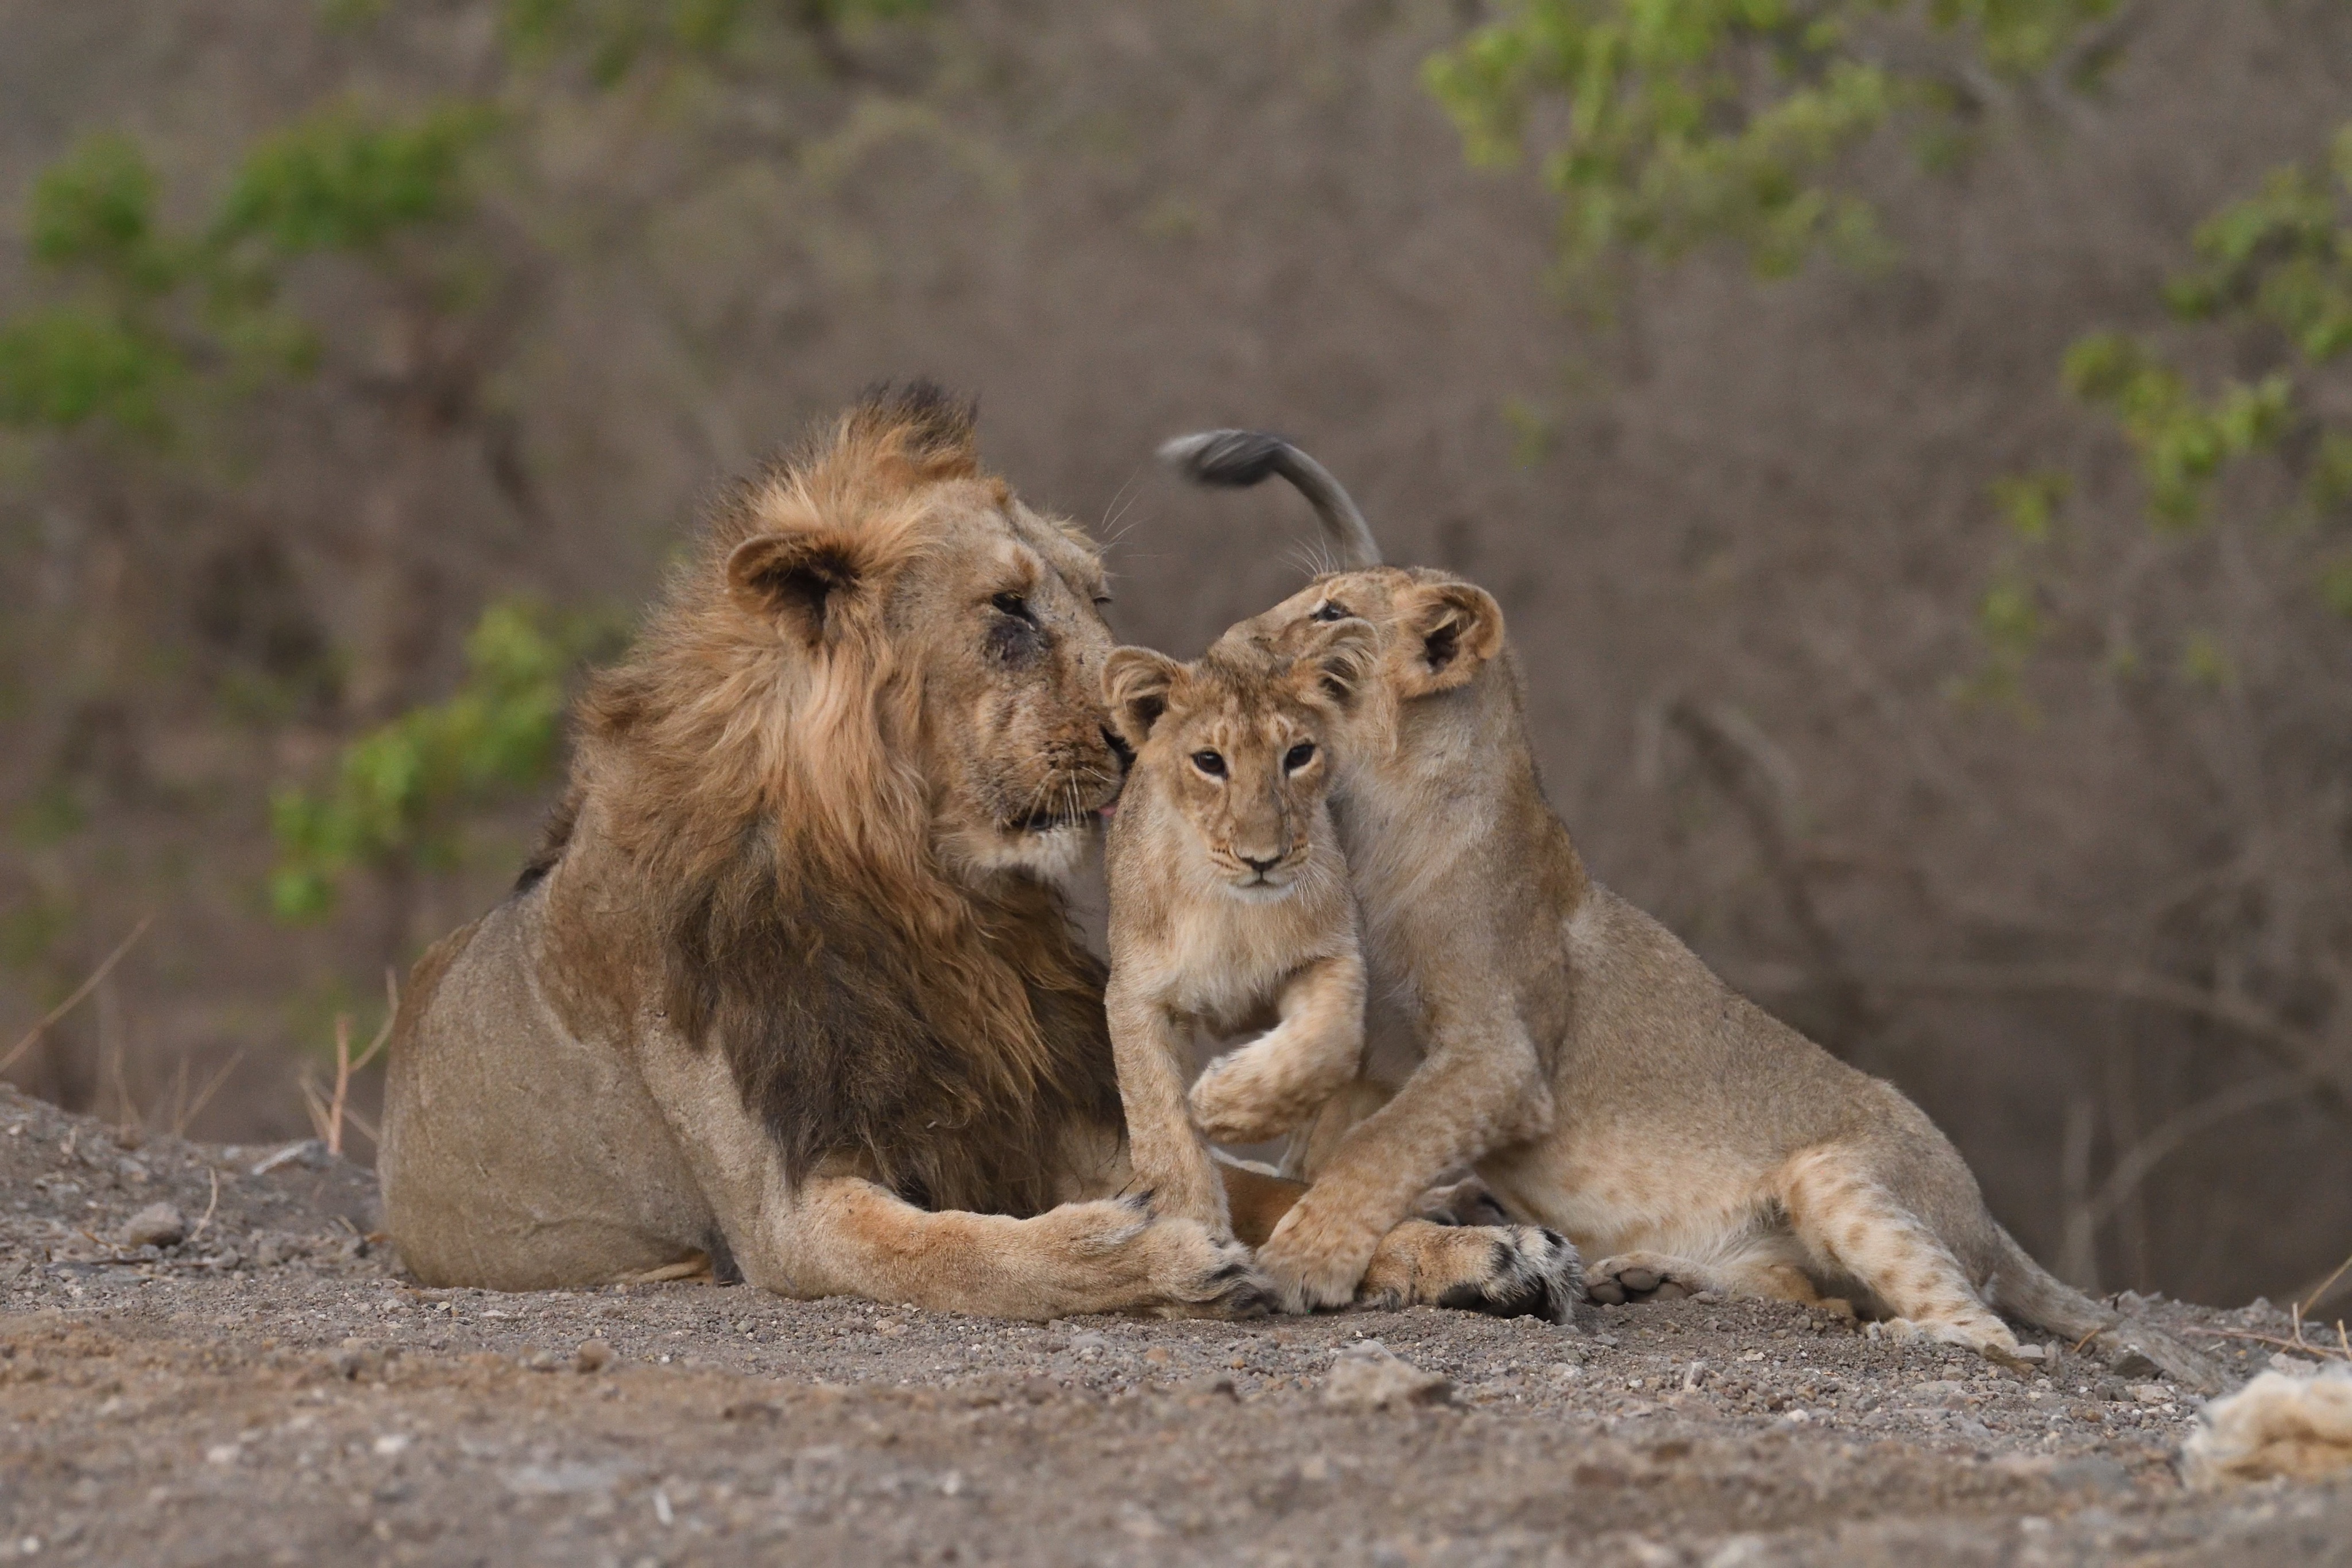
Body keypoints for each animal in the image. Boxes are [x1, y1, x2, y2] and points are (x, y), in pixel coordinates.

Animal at [381, 385, 1561, 1316]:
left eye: (1097, 595)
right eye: (1008, 611)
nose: (1151, 730)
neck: (932, 898)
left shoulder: (1044, 1105)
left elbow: (1277, 1191)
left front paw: (1469, 1248)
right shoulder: (785, 1207)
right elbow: (961, 1250)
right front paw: (1141, 1250)